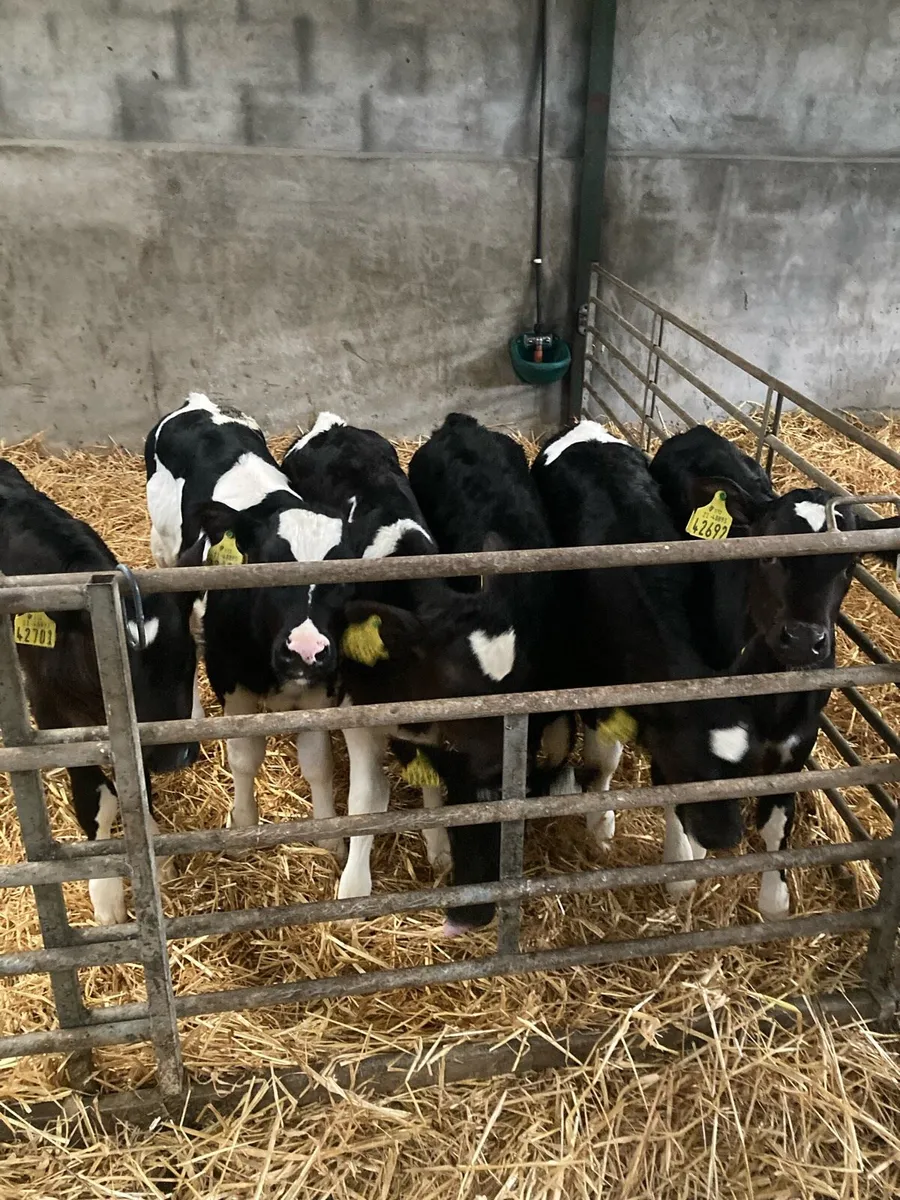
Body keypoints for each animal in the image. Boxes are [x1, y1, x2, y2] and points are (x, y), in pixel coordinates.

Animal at [0, 458, 198, 924]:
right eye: (110, 662)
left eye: (189, 662)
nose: (176, 755)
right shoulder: (51, 712)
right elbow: (96, 799)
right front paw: (107, 896)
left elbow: (136, 788)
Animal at [532, 421, 767, 907]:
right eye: (686, 771)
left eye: (746, 770)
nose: (724, 839)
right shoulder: (597, 694)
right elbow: (602, 763)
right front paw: (601, 826)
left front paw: (683, 864)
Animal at [649, 424, 900, 916]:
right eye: (767, 553)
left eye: (851, 563)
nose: (803, 639)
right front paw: (683, 867)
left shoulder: (797, 744)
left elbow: (775, 826)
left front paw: (775, 896)